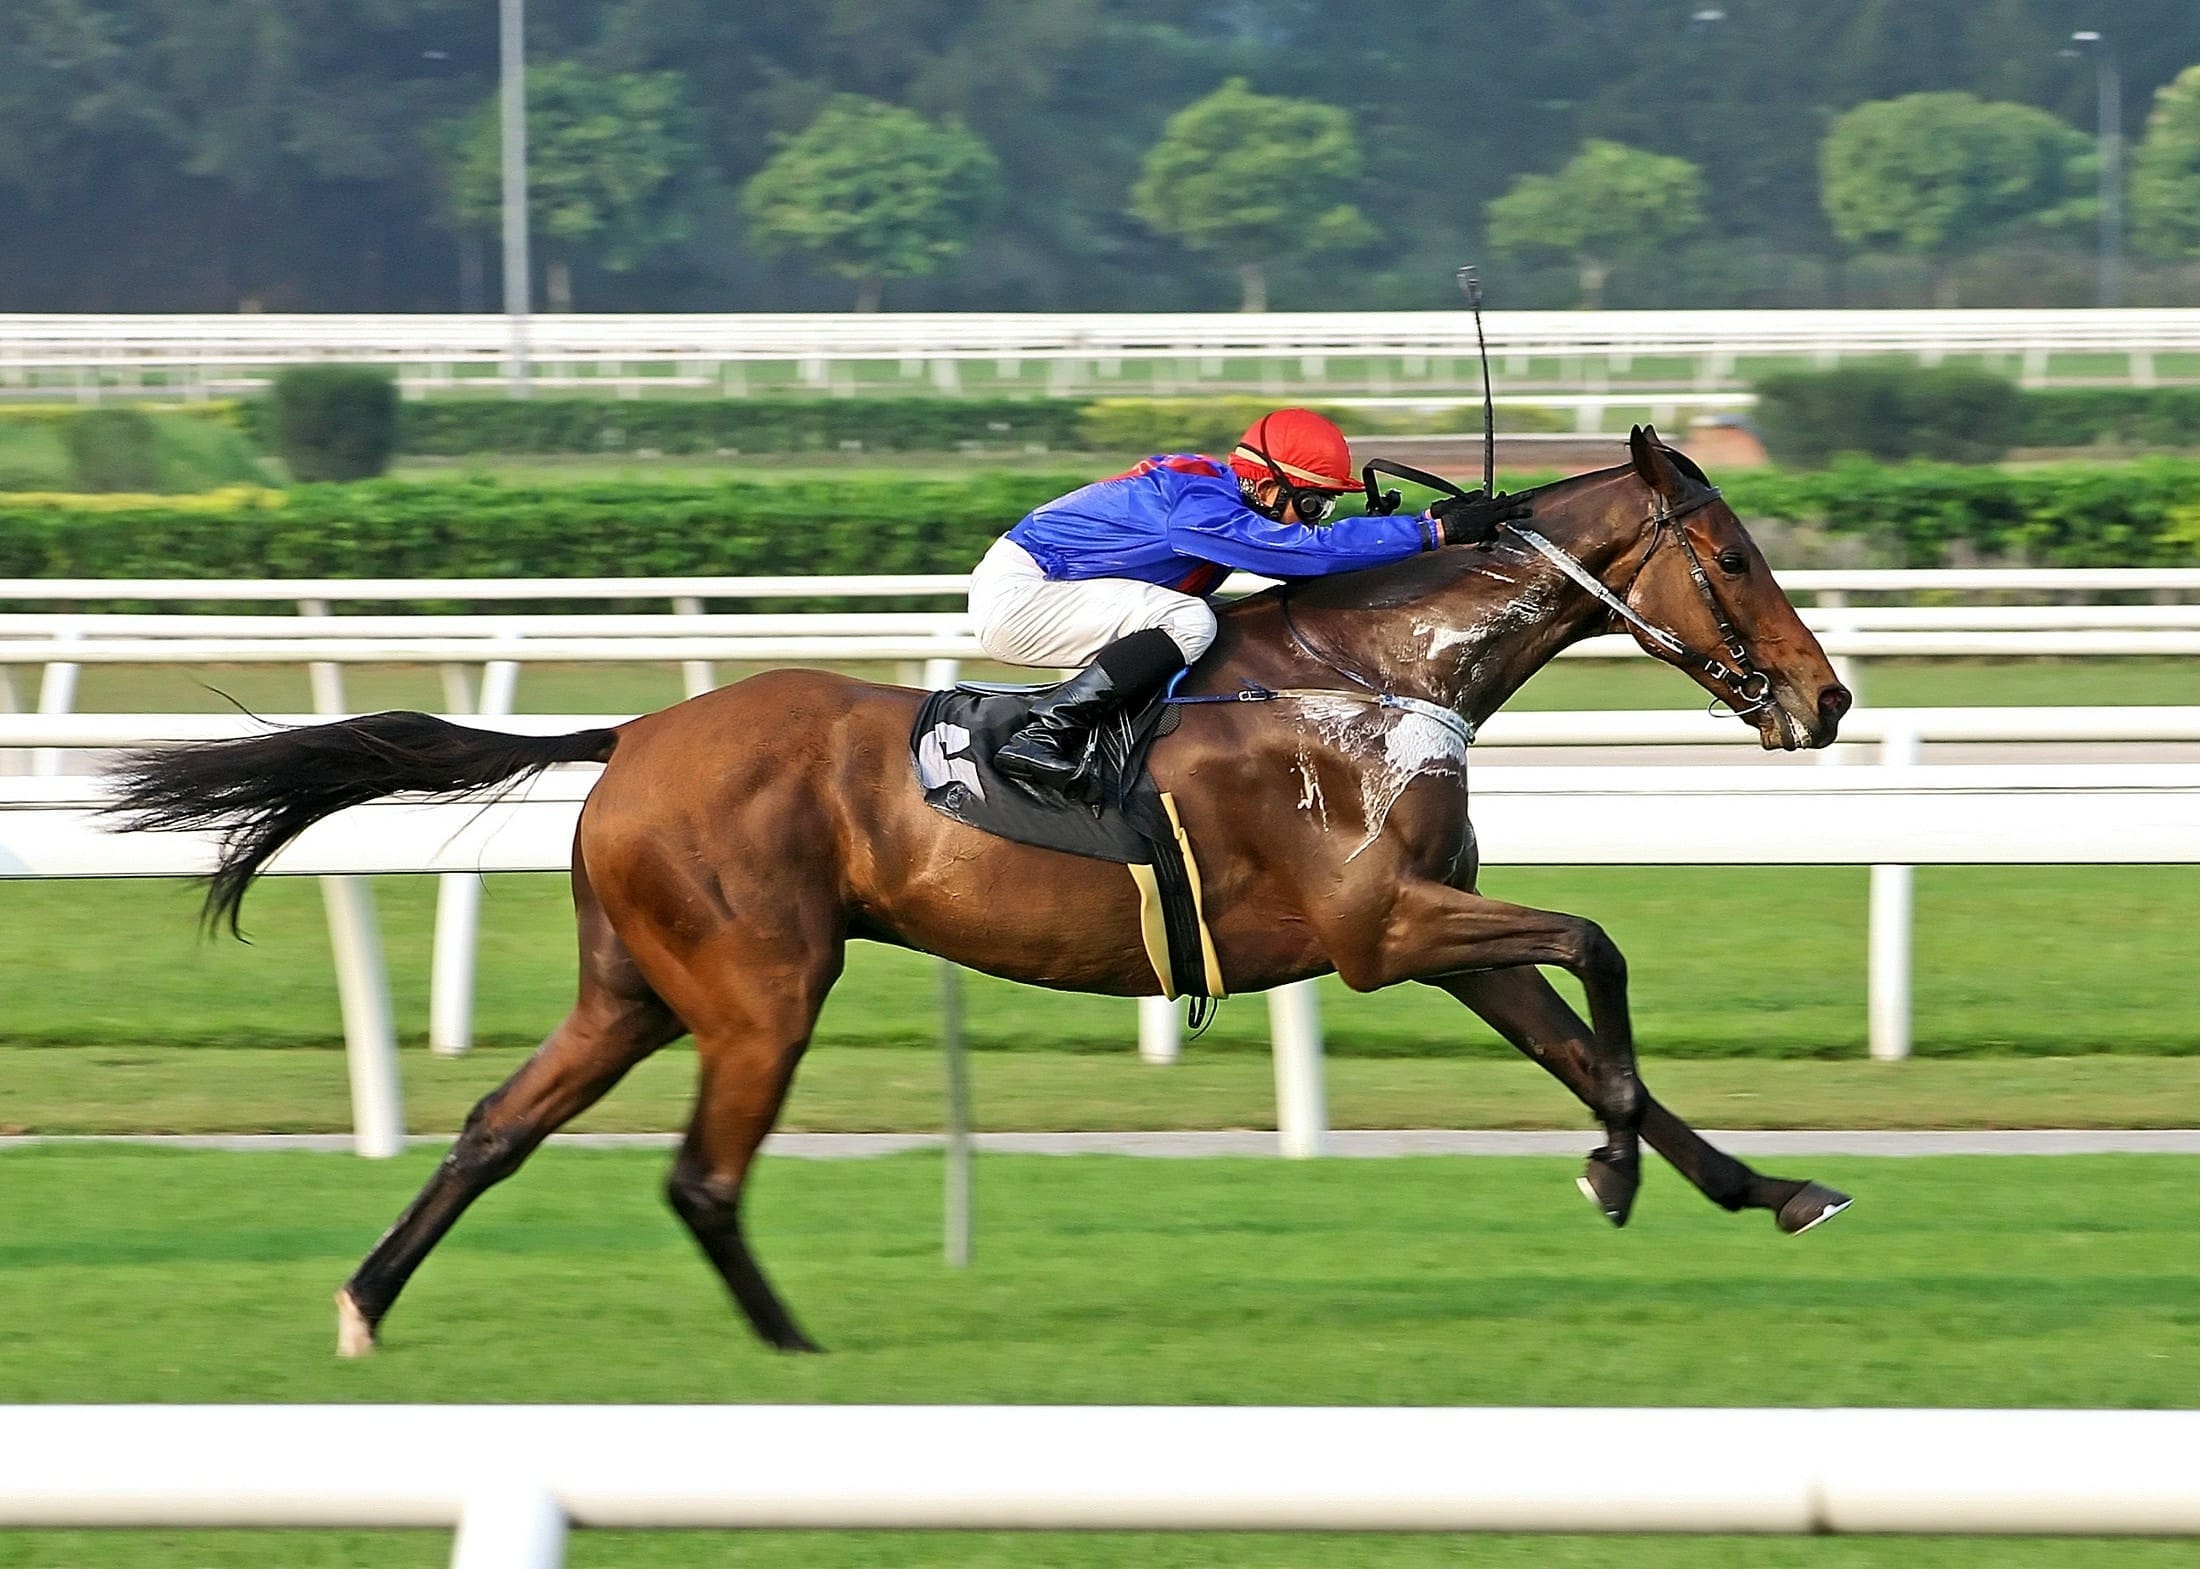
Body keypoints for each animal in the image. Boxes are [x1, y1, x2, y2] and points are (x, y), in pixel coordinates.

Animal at [107, 426, 1855, 1358]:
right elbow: (1602, 955)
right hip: (760, 986)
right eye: (1736, 560)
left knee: (495, 1129)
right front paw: (1612, 1171)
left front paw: (1762, 1186)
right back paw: (792, 1347)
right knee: (700, 1175)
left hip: (635, 986)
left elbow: (1580, 1030)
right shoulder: (1379, 935)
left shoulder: (1432, 929)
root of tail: (637, 732)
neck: (1374, 673)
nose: (1827, 700)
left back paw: (364, 1303)